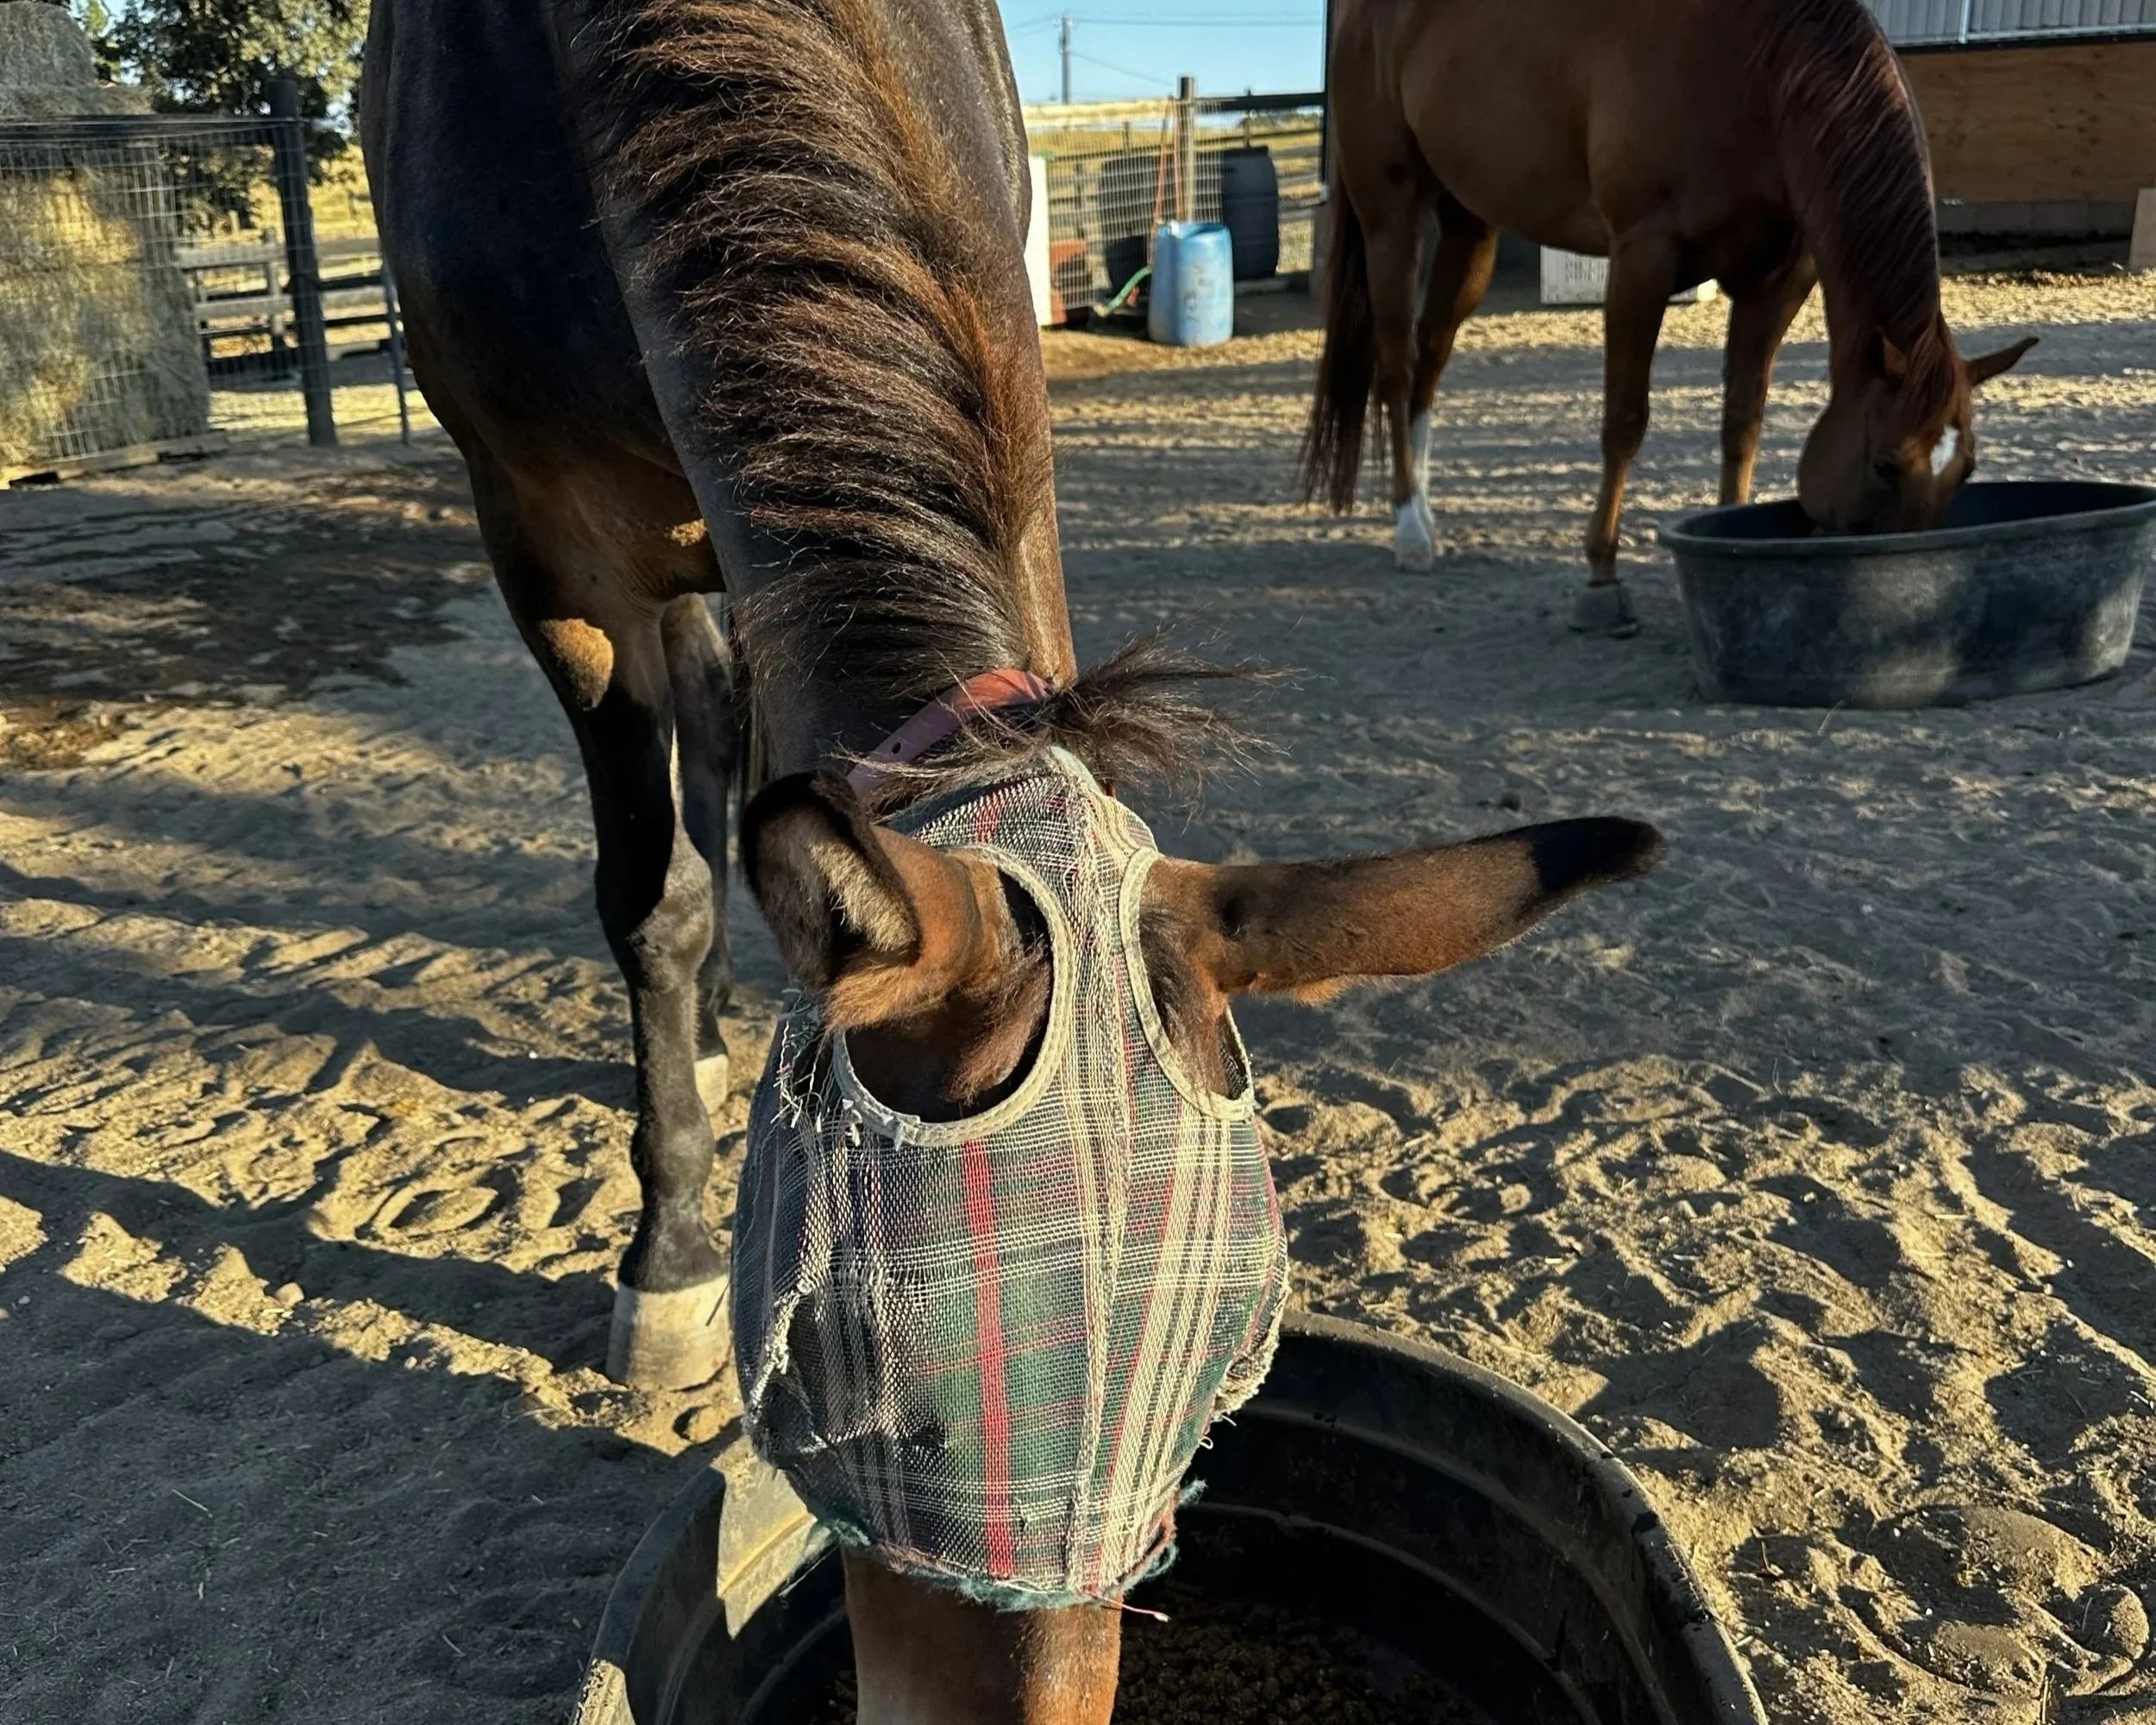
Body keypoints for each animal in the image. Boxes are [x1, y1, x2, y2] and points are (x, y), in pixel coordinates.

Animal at [1304, 0, 2037, 634]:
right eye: (1885, 465)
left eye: (1965, 470)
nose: (1906, 587)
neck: (1757, 72)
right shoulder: (1643, 259)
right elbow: (1625, 422)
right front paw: (1601, 581)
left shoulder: (1776, 282)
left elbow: (1742, 420)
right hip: (1392, 215)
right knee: (1396, 368)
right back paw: (1409, 530)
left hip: (1470, 224)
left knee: (1430, 358)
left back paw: (1427, 512)